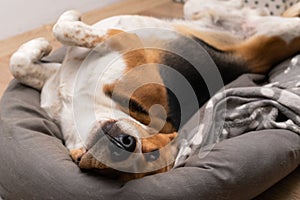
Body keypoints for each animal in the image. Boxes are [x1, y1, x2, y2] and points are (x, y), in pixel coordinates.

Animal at [8, 0, 300, 180]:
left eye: (153, 154)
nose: (125, 144)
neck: (80, 104)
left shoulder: (125, 39)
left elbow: (64, 28)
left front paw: (65, 23)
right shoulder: (54, 82)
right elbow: (19, 63)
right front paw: (40, 46)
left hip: (280, 33)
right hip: (201, 14)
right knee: (218, 10)